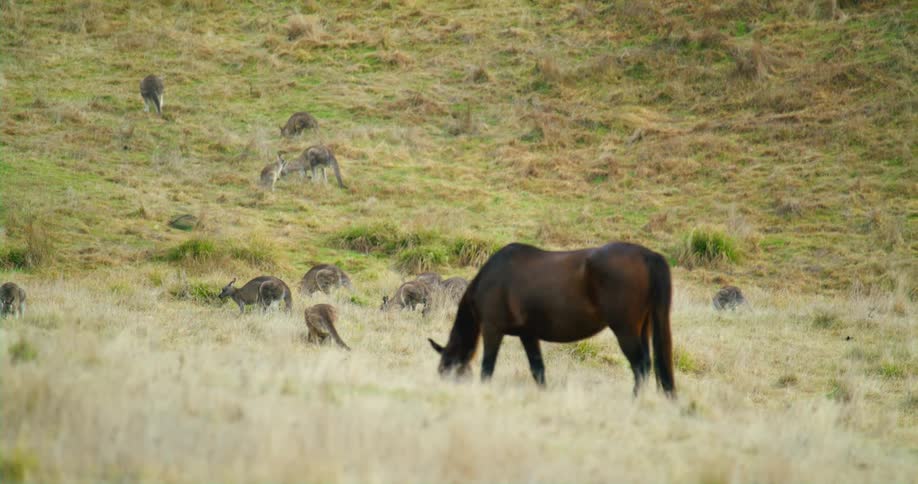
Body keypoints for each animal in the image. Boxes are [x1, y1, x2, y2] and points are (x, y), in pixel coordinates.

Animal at [428, 242, 675, 398]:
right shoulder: (528, 334)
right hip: (642, 328)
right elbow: (537, 369)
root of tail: (647, 255)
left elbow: (487, 367)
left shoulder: (492, 329)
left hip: (625, 329)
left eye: (445, 371)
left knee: (640, 365)